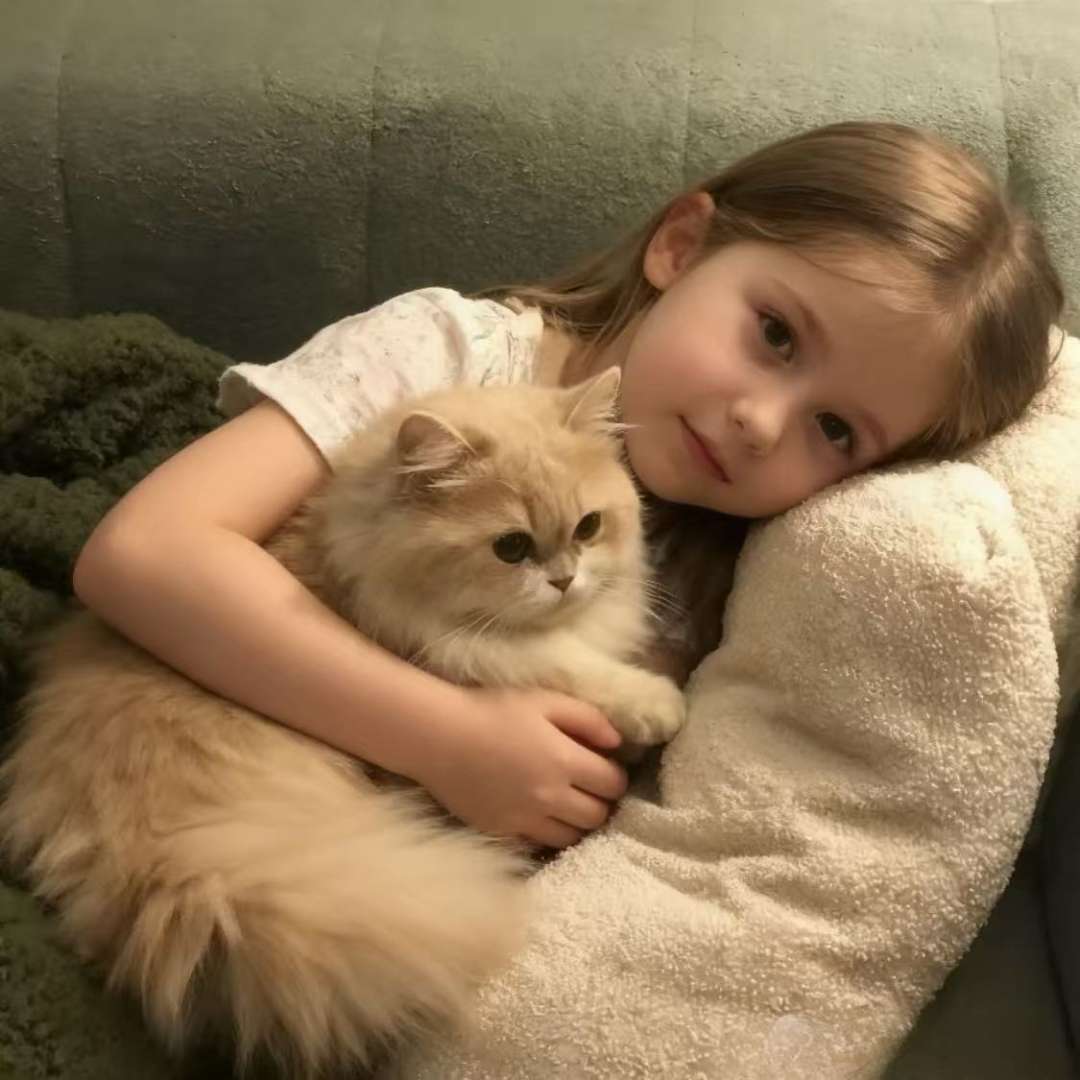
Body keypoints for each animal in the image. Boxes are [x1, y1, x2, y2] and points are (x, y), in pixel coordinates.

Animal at [0, 368, 685, 1077]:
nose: (565, 580)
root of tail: (167, 857)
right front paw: (657, 703)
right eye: (512, 547)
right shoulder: (473, 652)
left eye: (587, 527)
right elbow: (571, 667)